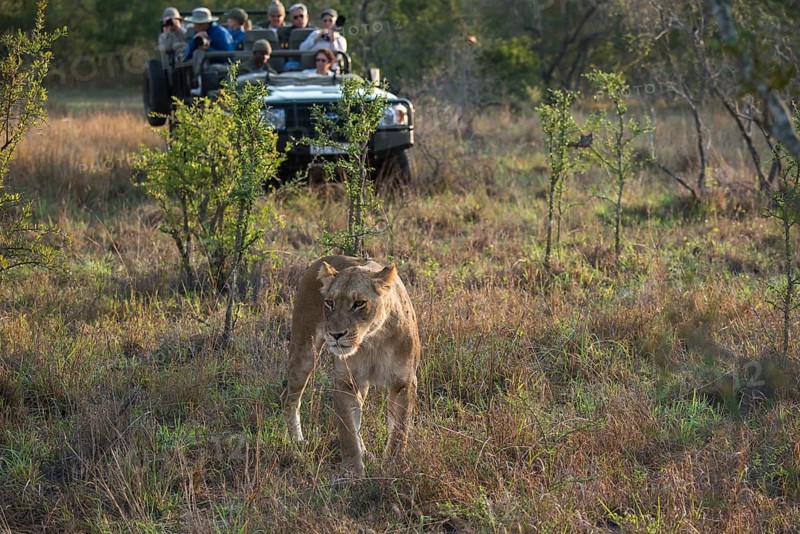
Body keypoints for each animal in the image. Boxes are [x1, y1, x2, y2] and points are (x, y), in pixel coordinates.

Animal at [282, 255, 421, 476]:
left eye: (359, 303)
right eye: (330, 302)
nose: (335, 335)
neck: (372, 340)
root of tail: (321, 260)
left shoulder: (404, 383)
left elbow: (399, 431)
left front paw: (393, 469)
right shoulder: (344, 381)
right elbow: (347, 432)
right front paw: (353, 474)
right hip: (304, 351)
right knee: (289, 398)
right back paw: (298, 441)